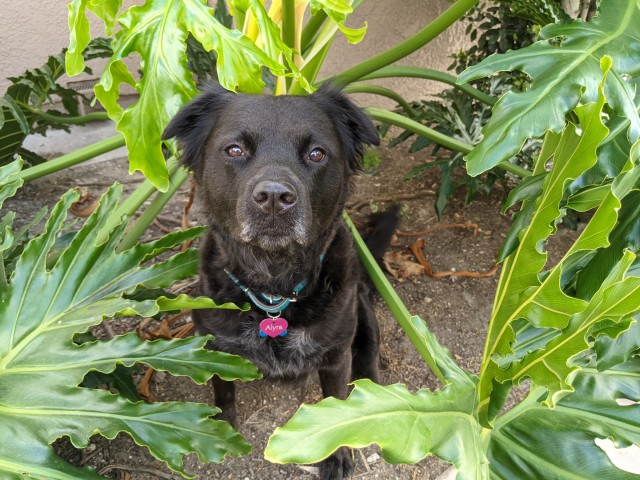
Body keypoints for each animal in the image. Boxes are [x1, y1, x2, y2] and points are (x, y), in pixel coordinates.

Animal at [165, 83, 396, 480]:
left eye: (317, 153)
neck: (273, 288)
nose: (274, 197)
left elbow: (333, 404)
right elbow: (223, 392)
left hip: (362, 314)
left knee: (368, 357)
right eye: (235, 150)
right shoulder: (215, 347)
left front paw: (335, 455)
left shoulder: (335, 355)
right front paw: (221, 429)